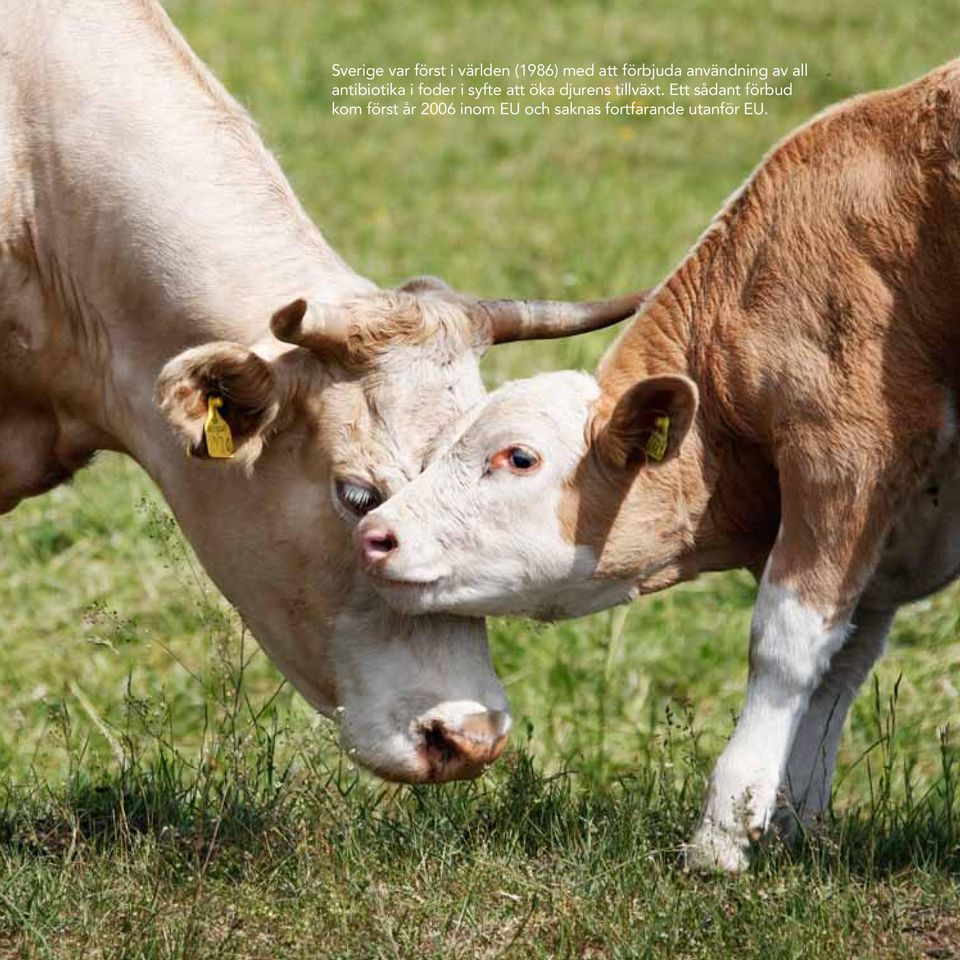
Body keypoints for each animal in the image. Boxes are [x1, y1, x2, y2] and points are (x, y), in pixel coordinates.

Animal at [356, 62, 960, 872]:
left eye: (518, 457)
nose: (375, 535)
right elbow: (843, 658)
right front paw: (794, 823)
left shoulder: (845, 454)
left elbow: (788, 643)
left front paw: (723, 832)